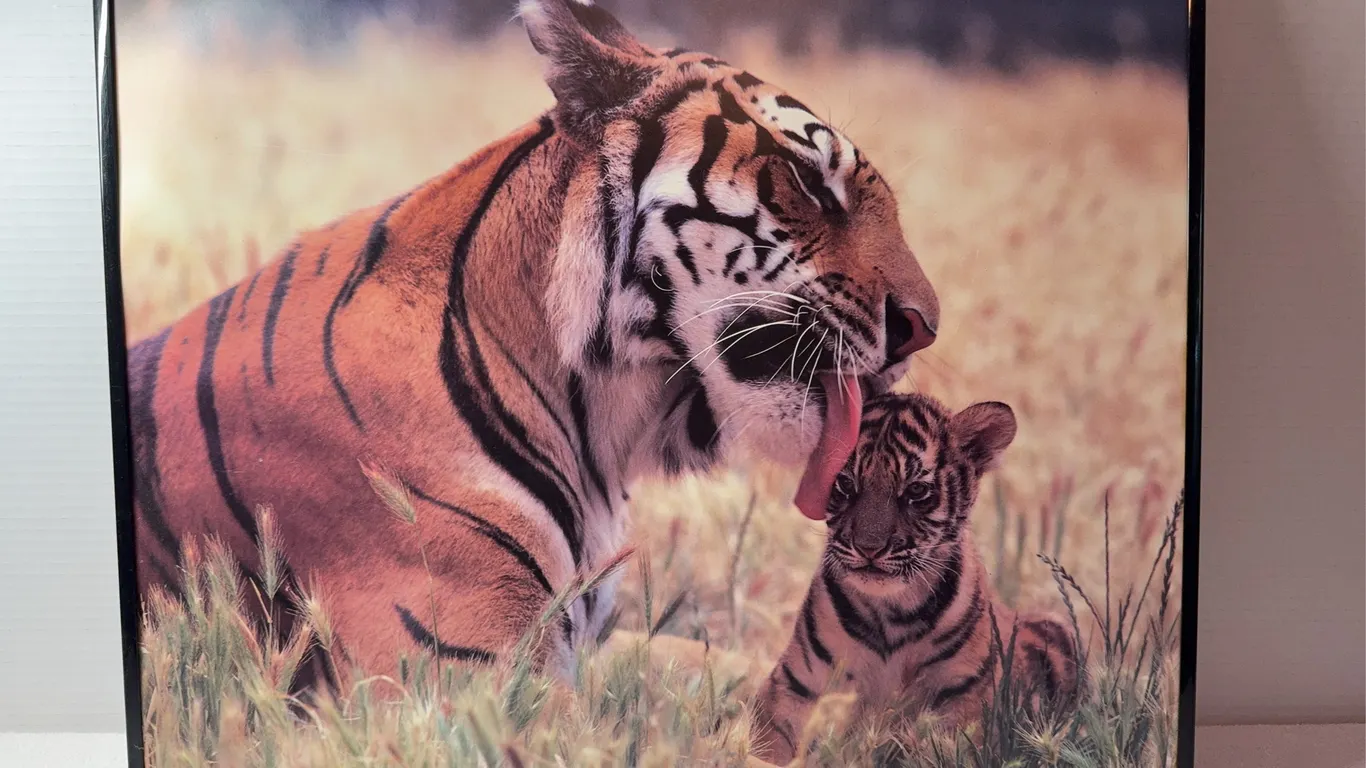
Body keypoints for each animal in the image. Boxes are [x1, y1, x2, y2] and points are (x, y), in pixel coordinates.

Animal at [749, 393, 1080, 765]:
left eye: (916, 490)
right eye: (845, 483)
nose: (869, 548)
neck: (891, 613)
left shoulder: (962, 706)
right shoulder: (793, 689)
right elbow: (766, 749)